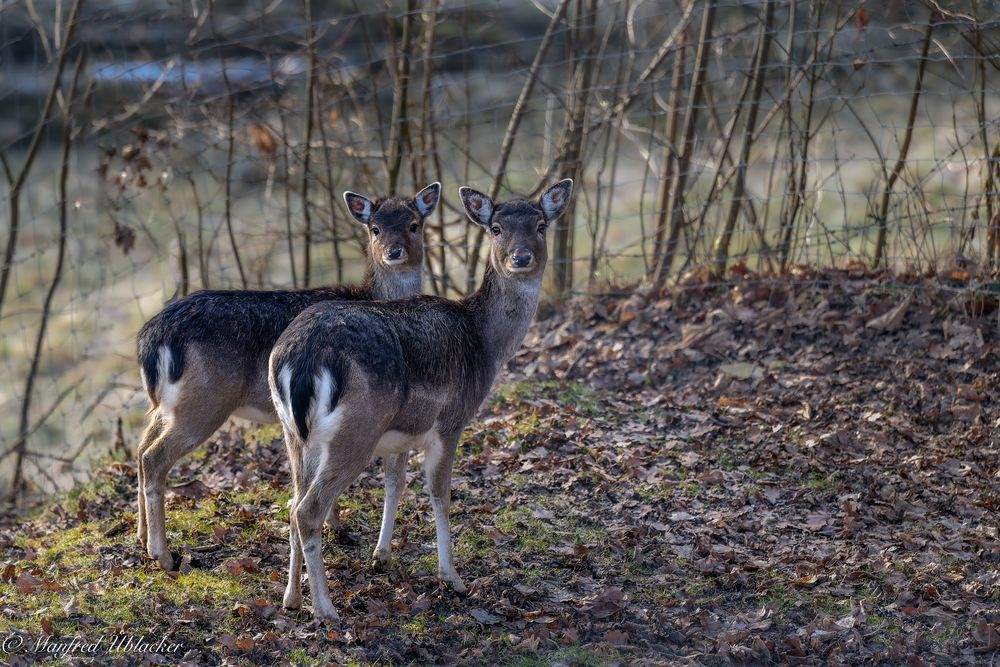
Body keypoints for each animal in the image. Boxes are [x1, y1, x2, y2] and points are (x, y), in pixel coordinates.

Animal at [136, 185, 438, 572]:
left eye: (413, 224)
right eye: (375, 229)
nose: (393, 252)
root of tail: (152, 337)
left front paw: (335, 525)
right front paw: (336, 527)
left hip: (166, 404)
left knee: (141, 448)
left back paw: (142, 536)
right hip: (202, 402)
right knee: (153, 457)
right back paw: (162, 554)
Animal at [270, 179, 576, 620]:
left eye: (540, 225)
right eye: (496, 228)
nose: (521, 258)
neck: (484, 345)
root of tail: (301, 357)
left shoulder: (401, 433)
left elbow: (395, 483)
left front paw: (381, 556)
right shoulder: (450, 421)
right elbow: (440, 496)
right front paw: (453, 578)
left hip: (294, 433)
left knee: (292, 502)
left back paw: (291, 598)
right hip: (355, 431)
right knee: (307, 510)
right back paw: (326, 609)